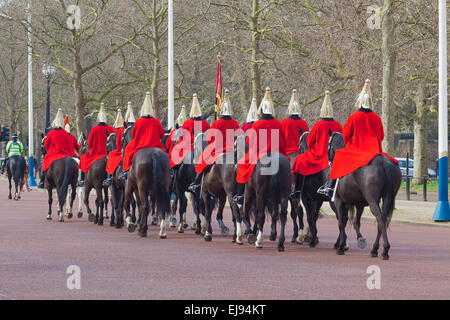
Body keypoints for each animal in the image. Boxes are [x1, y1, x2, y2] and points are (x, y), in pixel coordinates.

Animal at [326, 132, 400, 260]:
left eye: (328, 145)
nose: (329, 161)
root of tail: (385, 163)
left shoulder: (339, 201)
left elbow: (341, 222)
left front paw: (341, 247)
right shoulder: (359, 204)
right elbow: (356, 223)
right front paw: (359, 239)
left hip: (372, 199)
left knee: (379, 218)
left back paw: (384, 249)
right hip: (388, 197)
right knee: (383, 219)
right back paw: (376, 250)